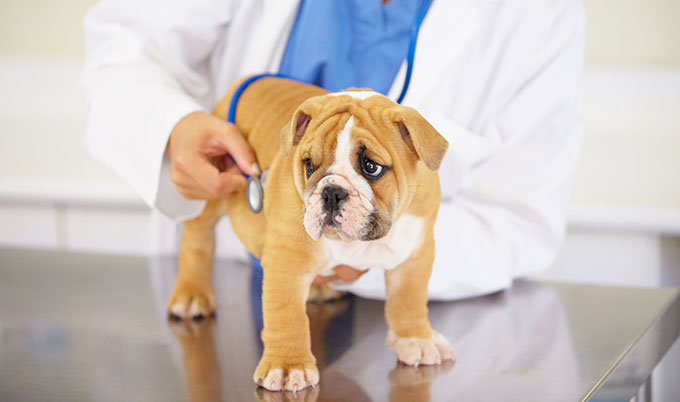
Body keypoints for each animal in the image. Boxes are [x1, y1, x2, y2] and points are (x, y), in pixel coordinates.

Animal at [165, 77, 454, 392]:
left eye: (371, 167)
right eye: (309, 165)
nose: (331, 192)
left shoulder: (415, 251)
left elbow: (409, 301)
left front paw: (417, 340)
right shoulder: (286, 259)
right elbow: (286, 314)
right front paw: (287, 366)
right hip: (208, 191)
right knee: (197, 241)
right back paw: (191, 295)